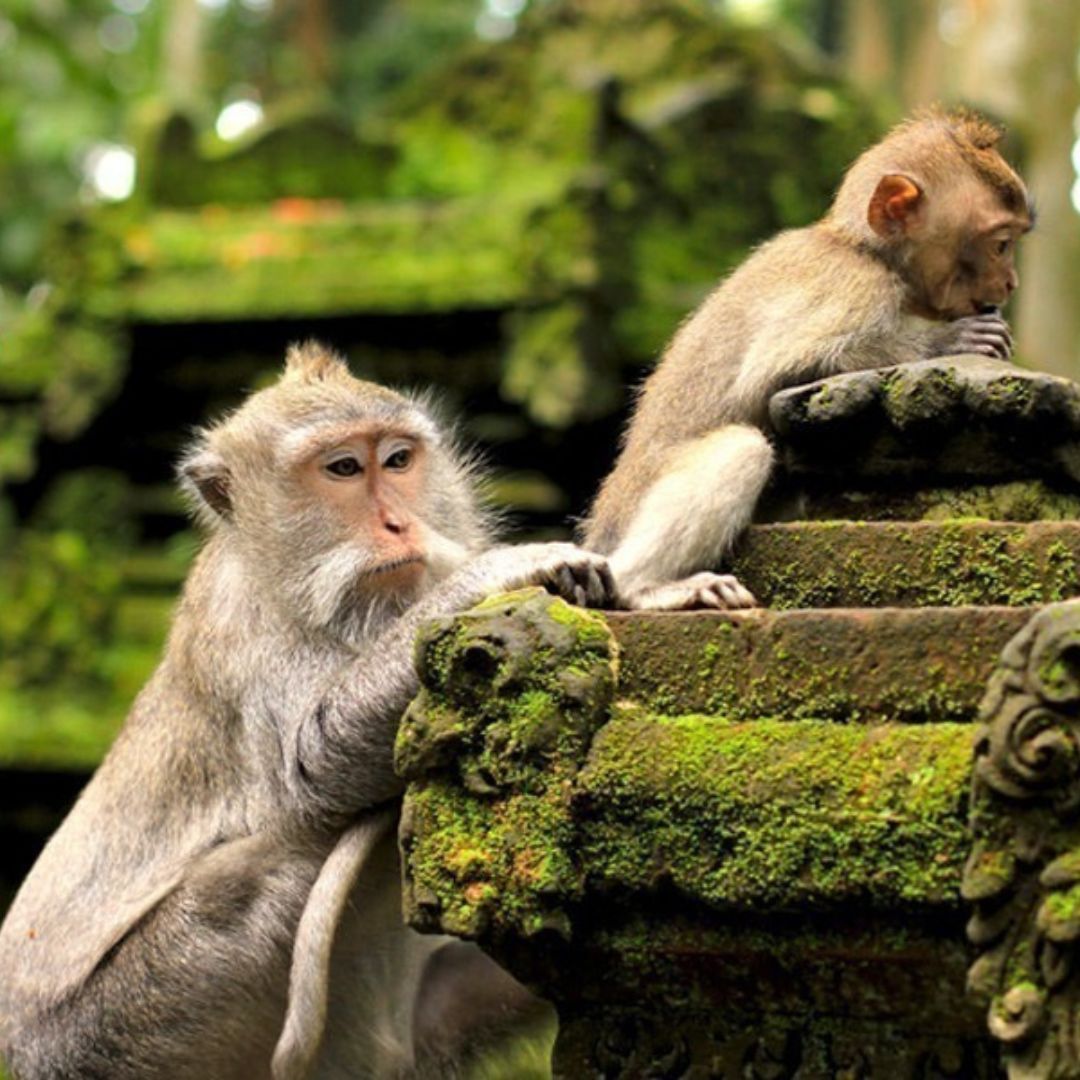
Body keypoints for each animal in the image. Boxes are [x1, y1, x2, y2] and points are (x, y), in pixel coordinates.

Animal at [0, 342, 616, 1080]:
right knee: (277, 863)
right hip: (120, 1028)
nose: (398, 523)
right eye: (343, 469)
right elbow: (313, 767)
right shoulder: (246, 630)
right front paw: (498, 572)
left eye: (397, 460)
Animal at [583, 108, 1033, 611]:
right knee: (741, 448)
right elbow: (774, 371)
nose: (1010, 282)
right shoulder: (856, 287)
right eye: (1000, 244)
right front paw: (948, 340)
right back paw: (644, 587)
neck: (863, 248)